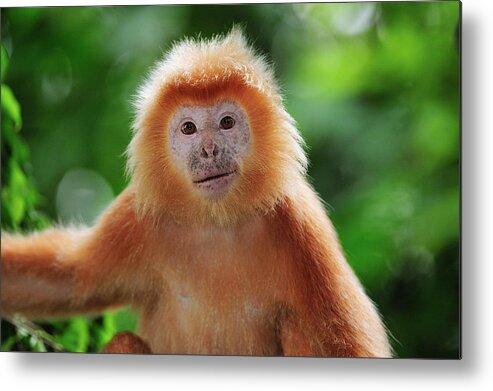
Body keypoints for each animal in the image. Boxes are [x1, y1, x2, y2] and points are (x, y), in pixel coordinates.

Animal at [0, 28, 392, 358]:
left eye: (226, 123)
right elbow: (68, 277)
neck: (216, 224)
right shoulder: (138, 215)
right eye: (188, 128)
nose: (209, 151)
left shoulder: (301, 223)